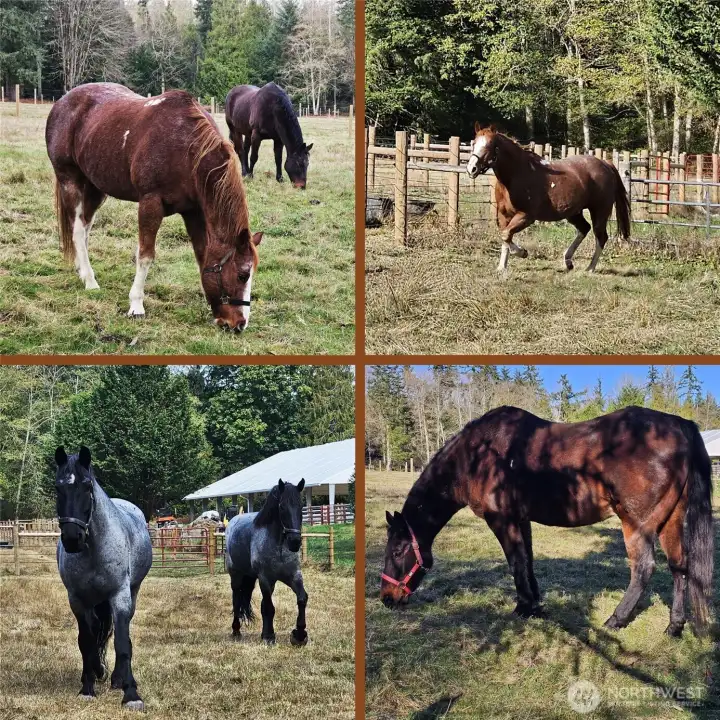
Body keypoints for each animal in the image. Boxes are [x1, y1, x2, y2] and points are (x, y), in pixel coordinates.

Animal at [45, 82, 263, 332]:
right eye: (242, 275)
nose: (239, 324)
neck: (186, 149)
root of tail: (62, 102)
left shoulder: (193, 212)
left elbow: (201, 255)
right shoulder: (151, 204)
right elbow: (146, 255)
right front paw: (136, 305)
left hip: (95, 187)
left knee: (84, 226)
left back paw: (82, 272)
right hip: (69, 180)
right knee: (78, 232)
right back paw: (90, 281)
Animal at [54, 446, 152, 710]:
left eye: (87, 486)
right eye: (57, 487)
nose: (72, 538)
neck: (94, 548)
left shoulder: (119, 596)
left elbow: (122, 643)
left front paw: (131, 694)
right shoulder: (78, 601)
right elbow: (86, 643)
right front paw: (87, 688)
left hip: (131, 593)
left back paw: (119, 678)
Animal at [225, 479, 309, 645]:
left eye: (301, 506)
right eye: (282, 507)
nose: (295, 542)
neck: (279, 547)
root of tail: (233, 520)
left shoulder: (293, 576)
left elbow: (302, 598)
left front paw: (299, 634)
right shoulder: (265, 578)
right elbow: (269, 607)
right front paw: (269, 636)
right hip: (236, 576)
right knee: (236, 599)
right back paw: (236, 630)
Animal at [380, 406, 714, 638]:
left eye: (397, 551)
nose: (387, 599)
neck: (478, 455)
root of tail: (679, 425)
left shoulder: (501, 520)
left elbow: (516, 563)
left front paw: (523, 608)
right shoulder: (521, 520)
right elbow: (527, 561)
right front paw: (536, 604)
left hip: (637, 523)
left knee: (643, 568)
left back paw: (615, 620)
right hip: (671, 519)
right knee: (679, 567)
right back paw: (674, 627)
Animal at [466, 124, 631, 274]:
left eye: (490, 145)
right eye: (474, 143)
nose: (471, 169)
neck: (516, 175)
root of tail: (606, 164)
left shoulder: (526, 216)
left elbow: (506, 235)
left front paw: (522, 253)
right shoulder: (503, 215)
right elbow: (505, 237)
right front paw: (502, 267)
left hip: (599, 211)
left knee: (601, 237)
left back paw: (590, 268)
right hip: (573, 213)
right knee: (584, 229)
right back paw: (568, 261)